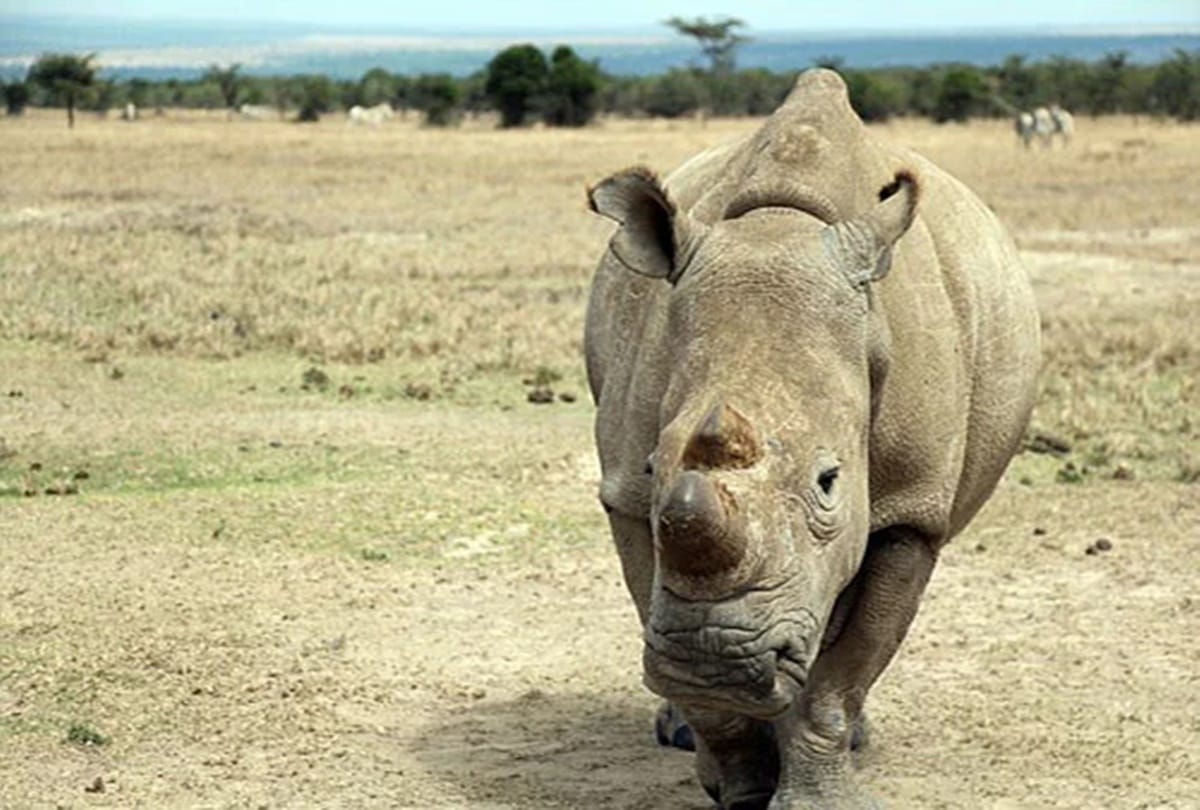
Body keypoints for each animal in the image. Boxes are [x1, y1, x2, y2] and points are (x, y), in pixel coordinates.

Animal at [584, 69, 1040, 809]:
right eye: (654, 468)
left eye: (830, 481)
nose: (714, 658)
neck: (779, 229)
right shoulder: (625, 493)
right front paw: (737, 783)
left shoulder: (911, 509)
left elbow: (842, 674)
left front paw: (817, 794)